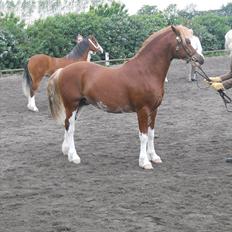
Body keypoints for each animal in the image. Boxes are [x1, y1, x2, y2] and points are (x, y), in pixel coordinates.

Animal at [47, 25, 205, 169]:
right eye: (186, 41)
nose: (200, 59)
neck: (146, 71)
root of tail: (62, 70)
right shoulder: (142, 110)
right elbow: (143, 136)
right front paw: (144, 162)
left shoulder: (154, 110)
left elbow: (151, 134)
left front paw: (154, 157)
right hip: (71, 105)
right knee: (70, 128)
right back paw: (74, 156)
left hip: (79, 105)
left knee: (67, 125)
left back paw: (66, 151)